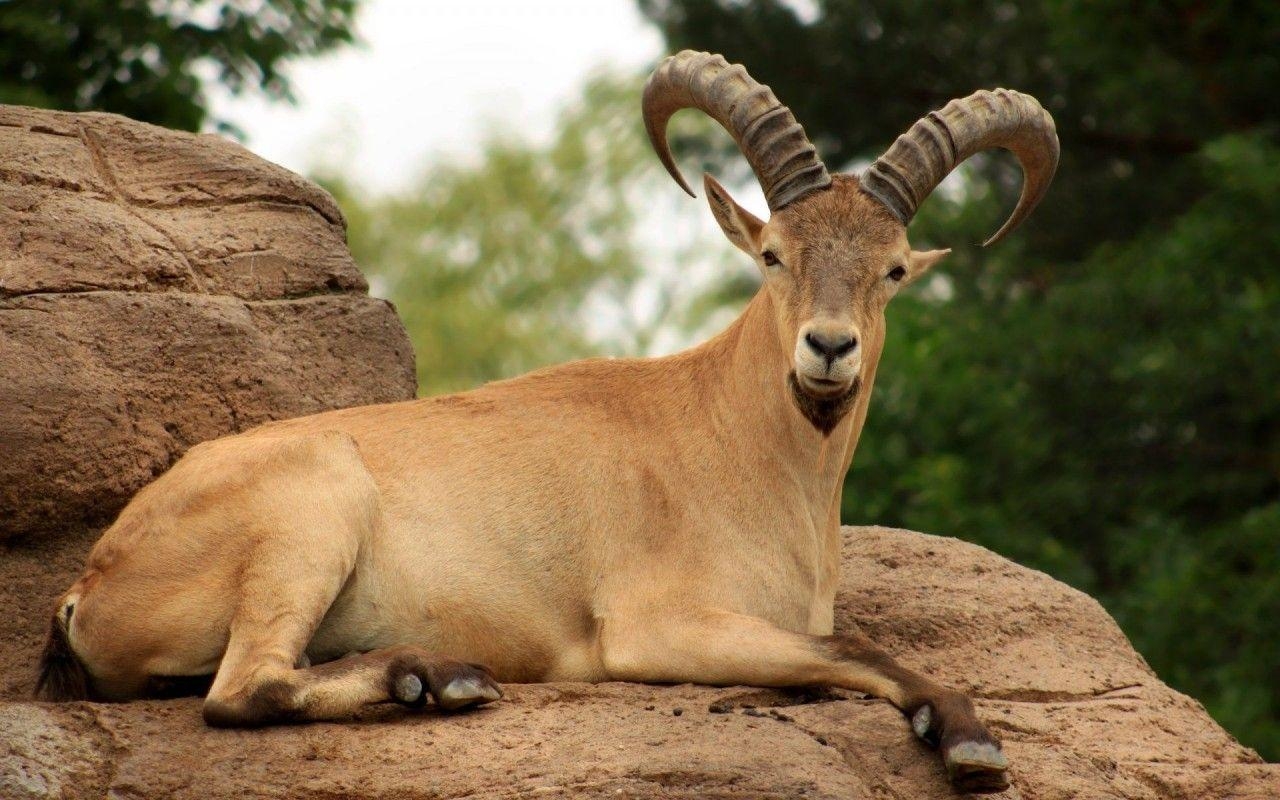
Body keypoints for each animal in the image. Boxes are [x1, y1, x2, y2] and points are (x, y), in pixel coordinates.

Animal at [40, 49, 1059, 793]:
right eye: (772, 253)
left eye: (893, 269)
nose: (829, 349)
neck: (738, 446)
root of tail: (90, 585)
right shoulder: (657, 628)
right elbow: (849, 646)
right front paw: (968, 739)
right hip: (310, 508)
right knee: (240, 689)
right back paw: (437, 678)